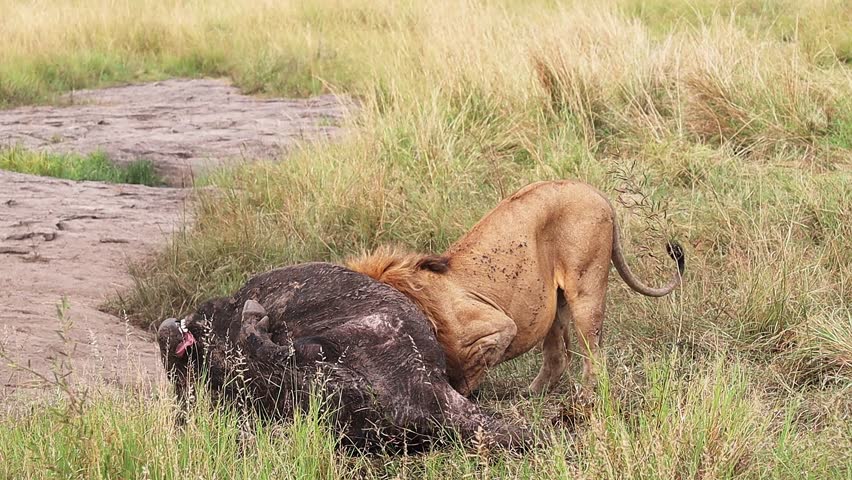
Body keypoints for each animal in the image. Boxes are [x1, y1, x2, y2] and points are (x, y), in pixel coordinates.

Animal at [347, 180, 684, 396]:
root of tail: (595, 191)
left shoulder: (498, 328)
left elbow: (467, 374)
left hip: (586, 286)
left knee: (593, 353)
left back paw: (586, 398)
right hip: (552, 301)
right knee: (558, 356)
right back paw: (532, 394)